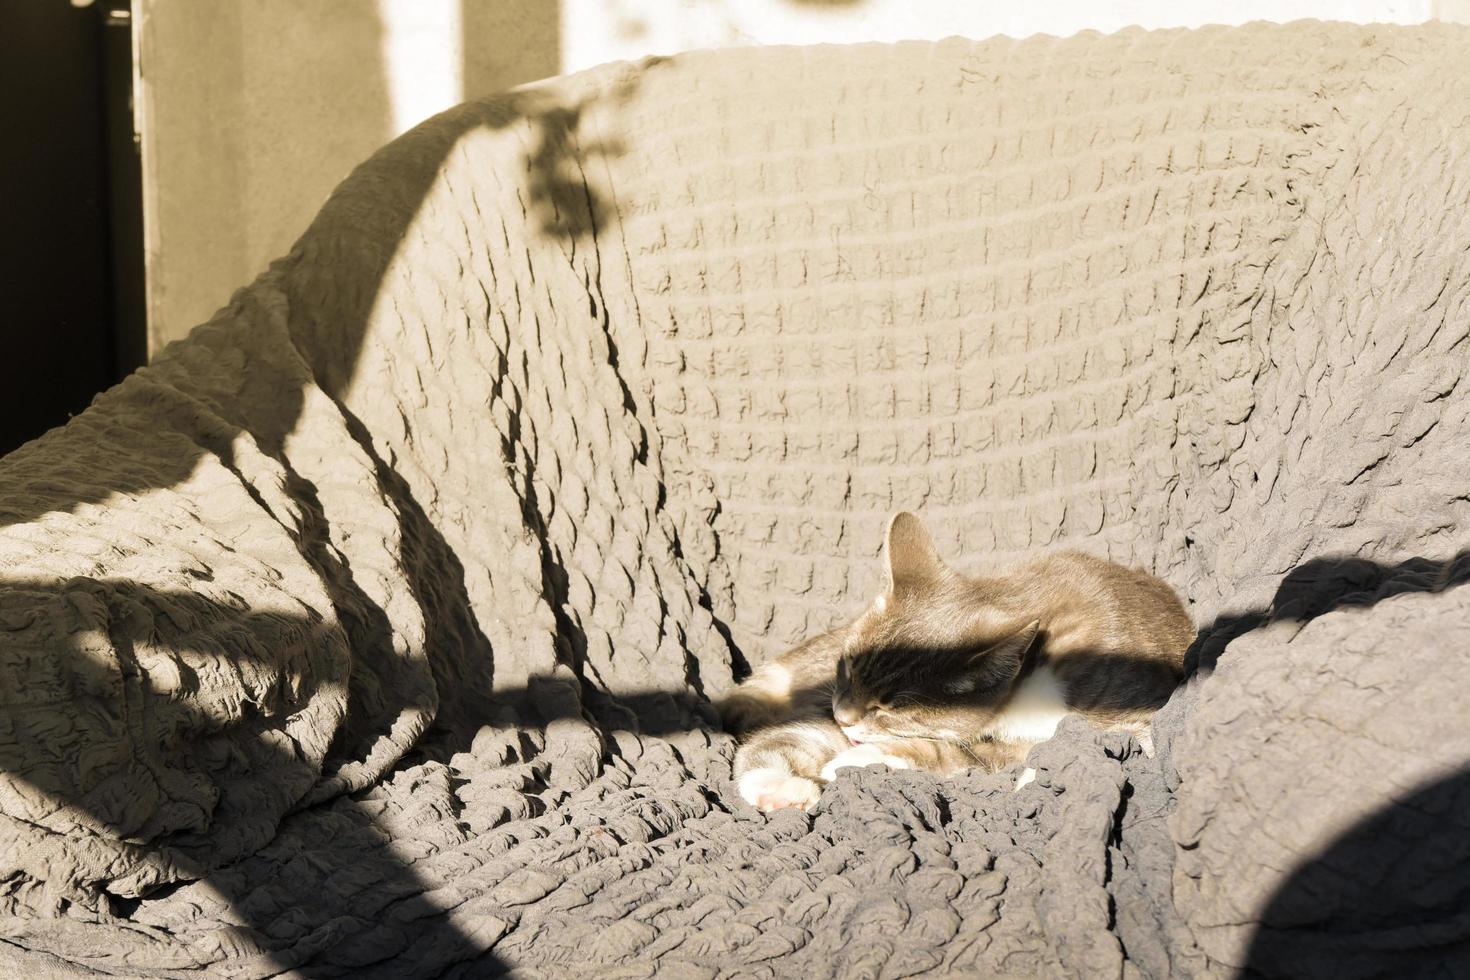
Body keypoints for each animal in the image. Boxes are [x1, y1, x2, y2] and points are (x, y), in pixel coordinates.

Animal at [720, 514, 1193, 811]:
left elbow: (956, 756)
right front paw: (781, 787)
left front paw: (853, 762)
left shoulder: (1126, 714)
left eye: (890, 708)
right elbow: (784, 740)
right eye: (848, 668)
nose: (844, 716)